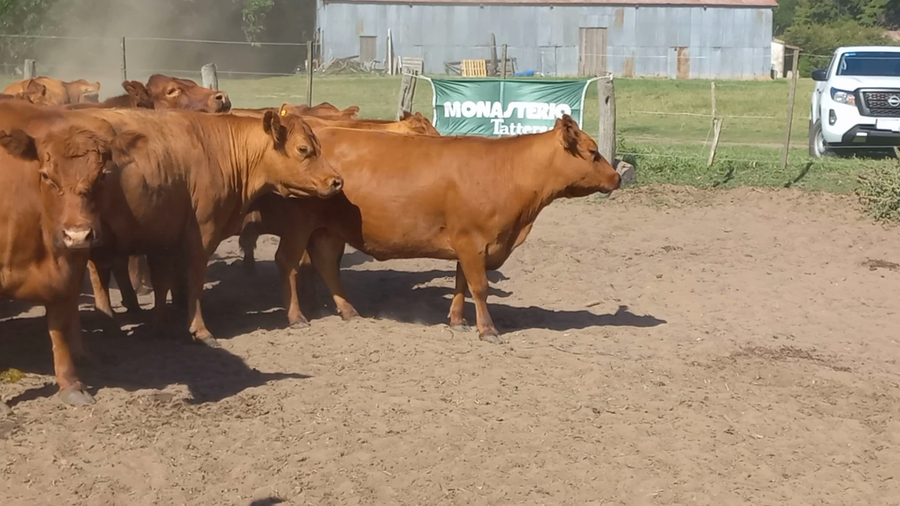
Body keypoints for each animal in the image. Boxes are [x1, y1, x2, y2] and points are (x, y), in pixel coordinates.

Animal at [0, 108, 143, 410]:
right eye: (46, 176)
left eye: (103, 176)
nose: (77, 235)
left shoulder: (67, 272)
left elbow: (60, 330)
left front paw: (71, 385)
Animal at [66, 105, 342, 347]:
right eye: (303, 149)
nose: (337, 181)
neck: (221, 151)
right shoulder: (201, 236)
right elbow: (194, 282)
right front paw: (200, 331)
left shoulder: (163, 239)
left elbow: (162, 282)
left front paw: (162, 326)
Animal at [244, 116, 621, 342]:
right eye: (593, 151)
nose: (617, 177)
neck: (509, 171)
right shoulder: (472, 241)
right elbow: (480, 287)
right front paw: (487, 329)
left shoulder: (467, 244)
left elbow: (462, 284)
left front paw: (457, 320)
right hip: (298, 226)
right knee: (288, 264)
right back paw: (297, 316)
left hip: (330, 231)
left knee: (324, 263)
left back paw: (349, 311)